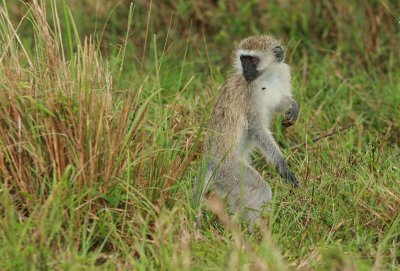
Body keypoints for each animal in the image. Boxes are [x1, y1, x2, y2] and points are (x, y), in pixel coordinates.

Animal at [192, 34, 298, 230]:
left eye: (252, 60)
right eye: (243, 59)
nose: (246, 71)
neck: (267, 77)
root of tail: (209, 160)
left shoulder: (282, 73)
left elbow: (277, 102)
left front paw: (292, 105)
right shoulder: (250, 94)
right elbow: (256, 127)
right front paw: (281, 163)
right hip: (228, 171)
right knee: (258, 190)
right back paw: (255, 231)